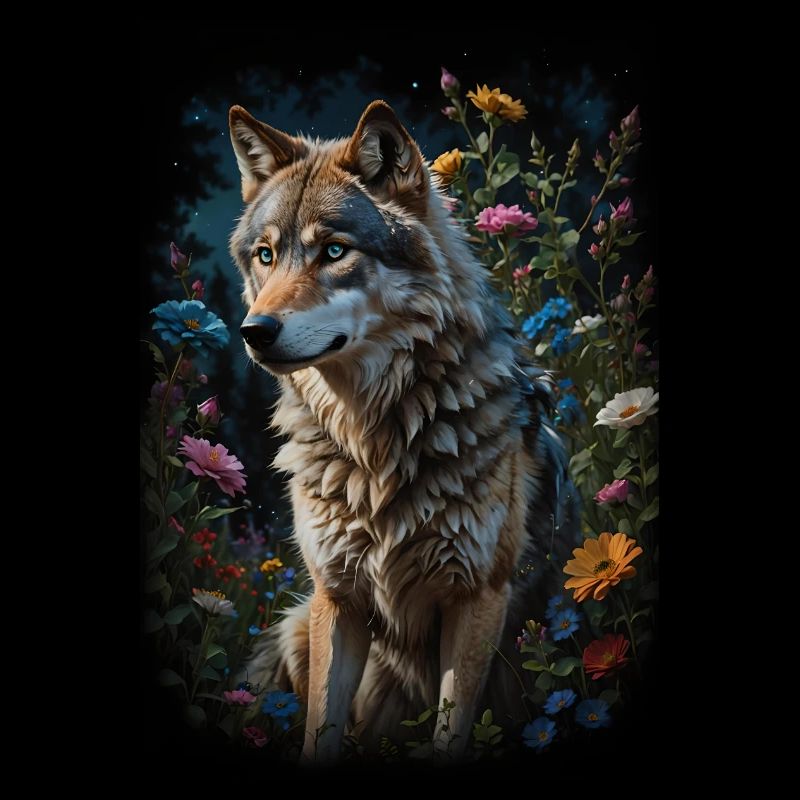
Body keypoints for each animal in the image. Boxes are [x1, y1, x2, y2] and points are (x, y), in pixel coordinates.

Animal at [227, 100, 577, 762]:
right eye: (265, 255)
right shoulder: (338, 598)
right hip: (298, 624)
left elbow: (448, 733)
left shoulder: (477, 598)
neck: (375, 442)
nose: (253, 332)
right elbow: (318, 729)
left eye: (333, 251)